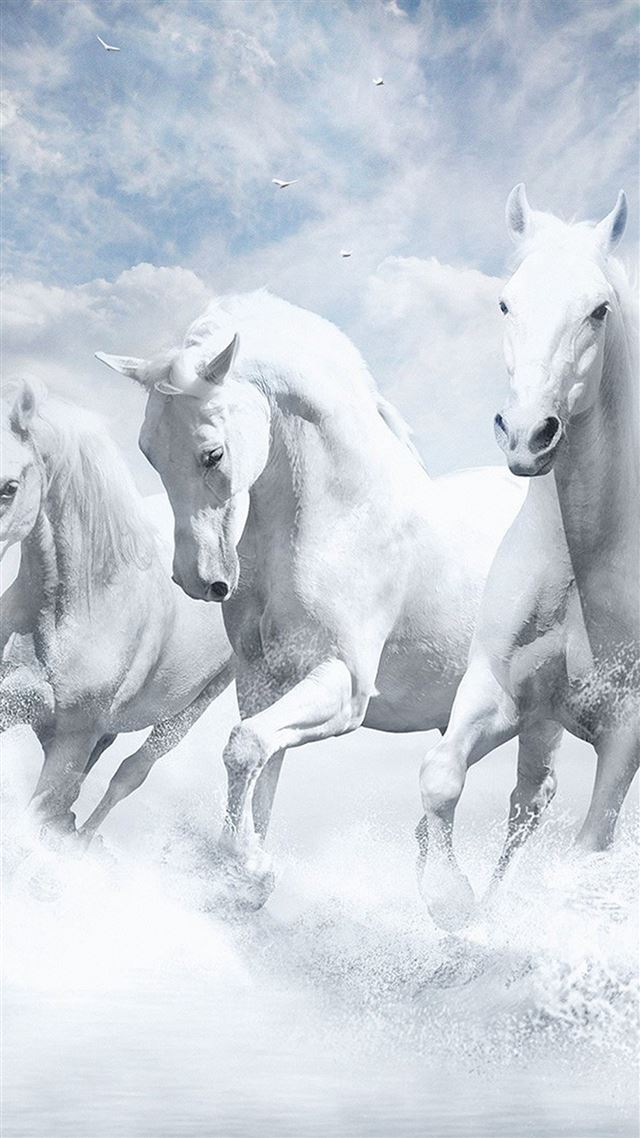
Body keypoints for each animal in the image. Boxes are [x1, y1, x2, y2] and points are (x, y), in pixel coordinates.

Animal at [96, 289, 541, 909]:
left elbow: (244, 748)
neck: (341, 518)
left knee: (532, 801)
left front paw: (247, 866)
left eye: (212, 454)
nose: (198, 580)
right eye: (148, 453)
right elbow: (261, 763)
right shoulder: (264, 681)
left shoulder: (344, 685)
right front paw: (248, 875)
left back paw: (482, 910)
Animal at [417, 186, 639, 928]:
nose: (526, 436)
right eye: (506, 303)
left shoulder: (626, 730)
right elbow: (441, 775)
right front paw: (450, 902)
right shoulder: (501, 689)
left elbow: (590, 849)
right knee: (526, 802)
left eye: (599, 310)